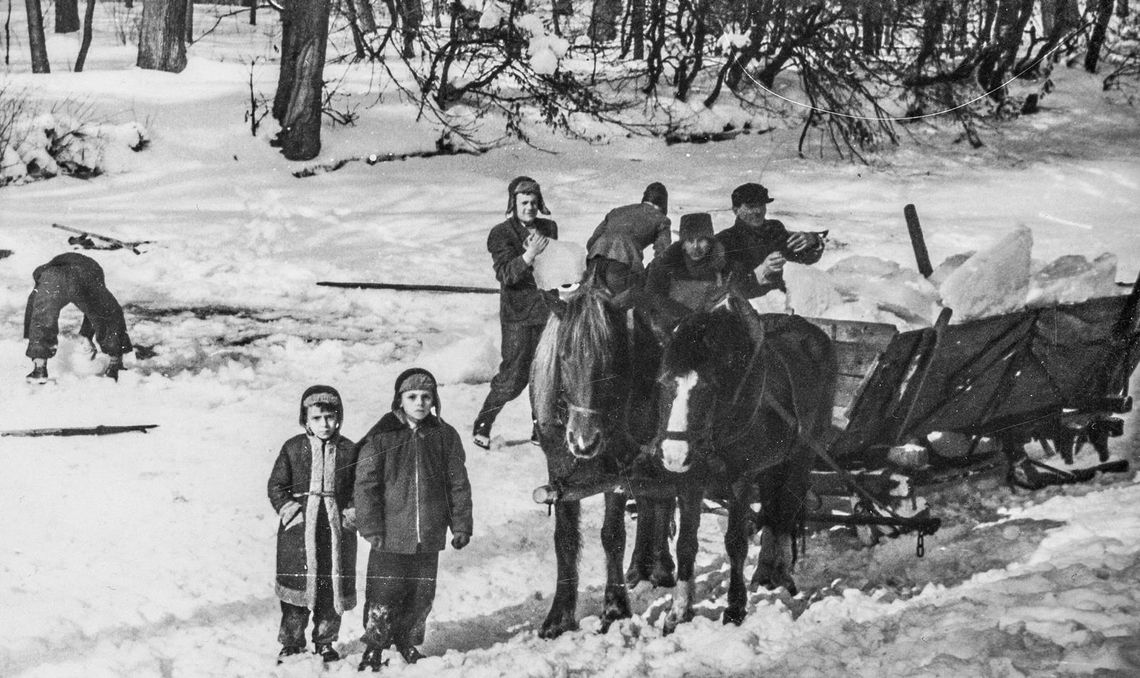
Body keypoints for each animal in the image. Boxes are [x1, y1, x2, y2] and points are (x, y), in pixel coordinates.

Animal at [524, 270, 693, 638]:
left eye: (611, 361)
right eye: (564, 357)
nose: (583, 441)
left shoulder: (618, 470)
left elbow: (612, 535)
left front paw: (615, 607)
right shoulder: (559, 470)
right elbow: (565, 539)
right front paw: (559, 615)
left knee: (660, 501)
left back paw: (659, 567)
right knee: (650, 501)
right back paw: (643, 566)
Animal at [652, 293, 839, 629]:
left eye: (706, 388)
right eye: (664, 384)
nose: (674, 455)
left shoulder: (740, 477)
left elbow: (736, 543)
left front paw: (735, 608)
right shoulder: (690, 478)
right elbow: (686, 543)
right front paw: (679, 611)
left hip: (802, 451)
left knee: (787, 508)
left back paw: (780, 573)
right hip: (771, 464)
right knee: (772, 507)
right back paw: (766, 570)